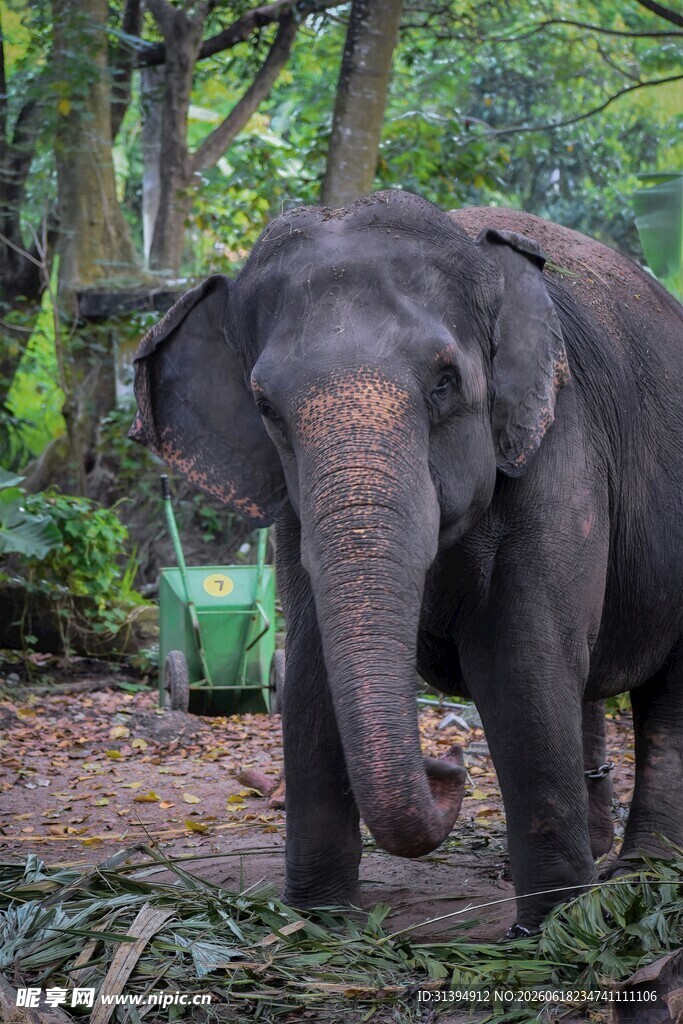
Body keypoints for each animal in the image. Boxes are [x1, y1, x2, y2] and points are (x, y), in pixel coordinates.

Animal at [129, 190, 683, 934]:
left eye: (445, 381)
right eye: (265, 406)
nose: (446, 760)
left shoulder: (560, 450)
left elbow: (522, 662)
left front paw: (549, 929)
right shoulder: (294, 512)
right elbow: (311, 671)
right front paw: (319, 918)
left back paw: (640, 873)